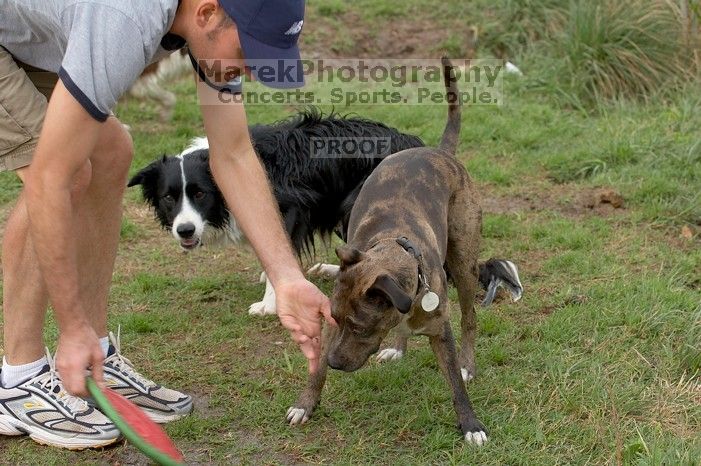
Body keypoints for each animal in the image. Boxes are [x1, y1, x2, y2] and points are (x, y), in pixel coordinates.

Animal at [284, 58, 486, 444]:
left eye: (361, 328)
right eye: (336, 319)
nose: (335, 362)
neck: (393, 246)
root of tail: (440, 151)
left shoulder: (441, 330)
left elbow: (455, 384)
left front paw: (470, 424)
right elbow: (315, 372)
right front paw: (306, 404)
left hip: (464, 262)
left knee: (470, 318)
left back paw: (470, 363)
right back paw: (398, 345)